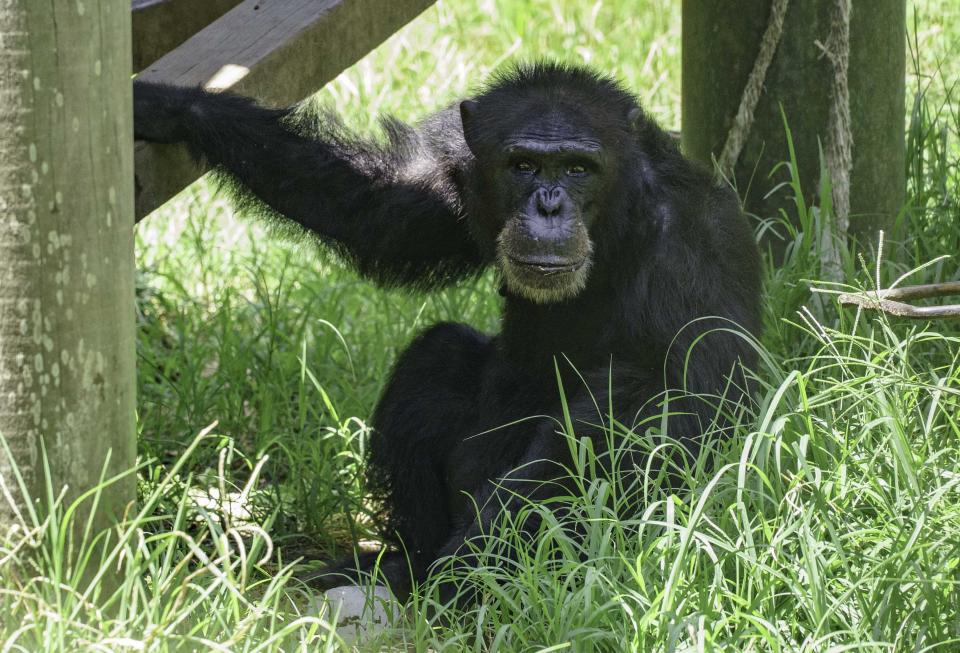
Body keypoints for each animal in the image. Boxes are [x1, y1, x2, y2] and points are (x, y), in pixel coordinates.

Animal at [131, 61, 760, 600]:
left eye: (579, 168)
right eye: (523, 165)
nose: (549, 204)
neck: (621, 216)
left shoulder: (688, 251)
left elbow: (675, 405)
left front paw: (469, 567)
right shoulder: (458, 165)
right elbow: (376, 205)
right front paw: (172, 107)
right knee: (438, 354)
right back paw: (405, 561)